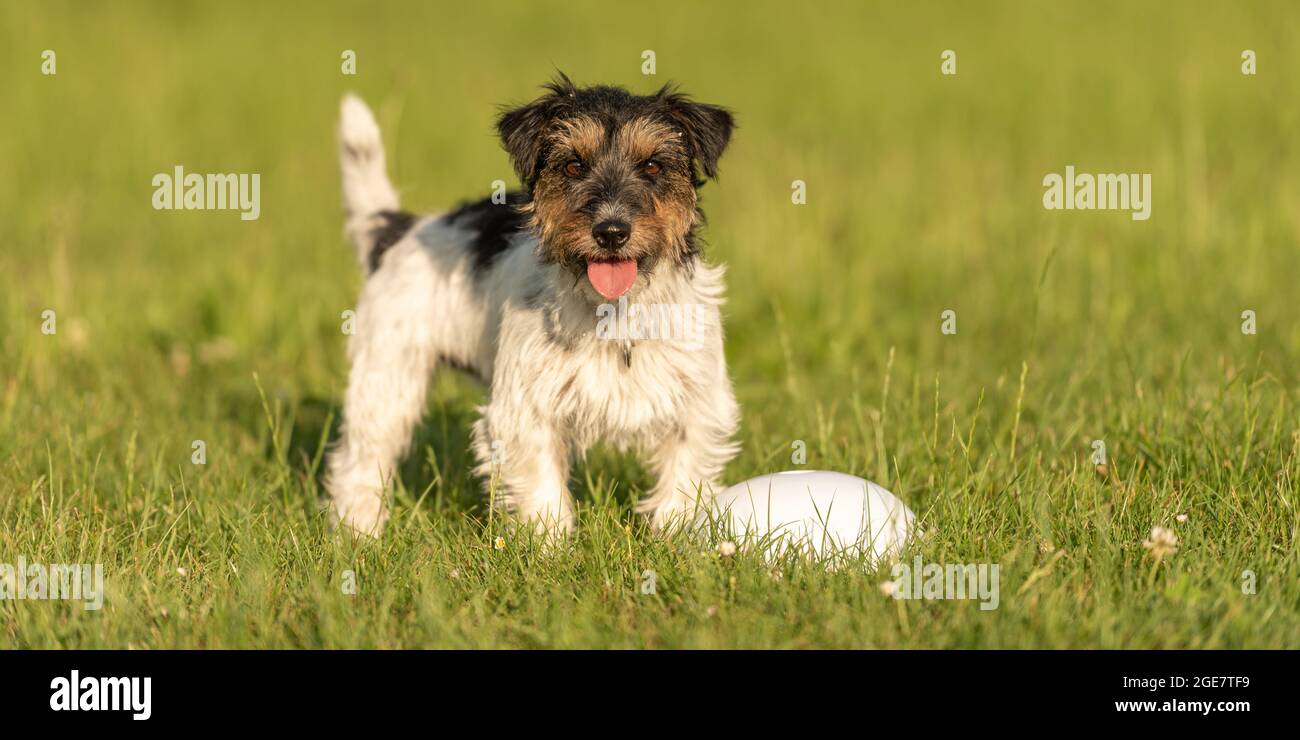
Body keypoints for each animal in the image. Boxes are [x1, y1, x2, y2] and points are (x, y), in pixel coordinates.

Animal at [325, 76, 743, 535]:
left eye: (653, 166)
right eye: (573, 166)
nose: (611, 231)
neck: (613, 312)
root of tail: (401, 229)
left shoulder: (696, 406)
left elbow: (682, 481)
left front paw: (677, 538)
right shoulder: (525, 411)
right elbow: (543, 490)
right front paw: (550, 546)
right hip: (388, 379)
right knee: (362, 458)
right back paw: (359, 531)